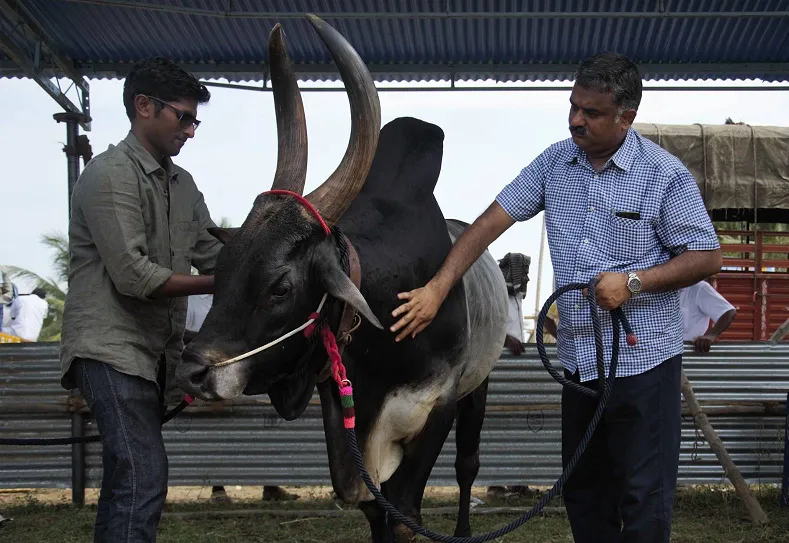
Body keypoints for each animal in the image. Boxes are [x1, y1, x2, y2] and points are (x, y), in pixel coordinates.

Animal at [177, 14, 510, 540]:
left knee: (467, 466)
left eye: (281, 287)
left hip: (480, 384)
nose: (191, 371)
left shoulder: (439, 404)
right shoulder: (342, 411)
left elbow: (405, 512)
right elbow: (375, 508)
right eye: (219, 272)